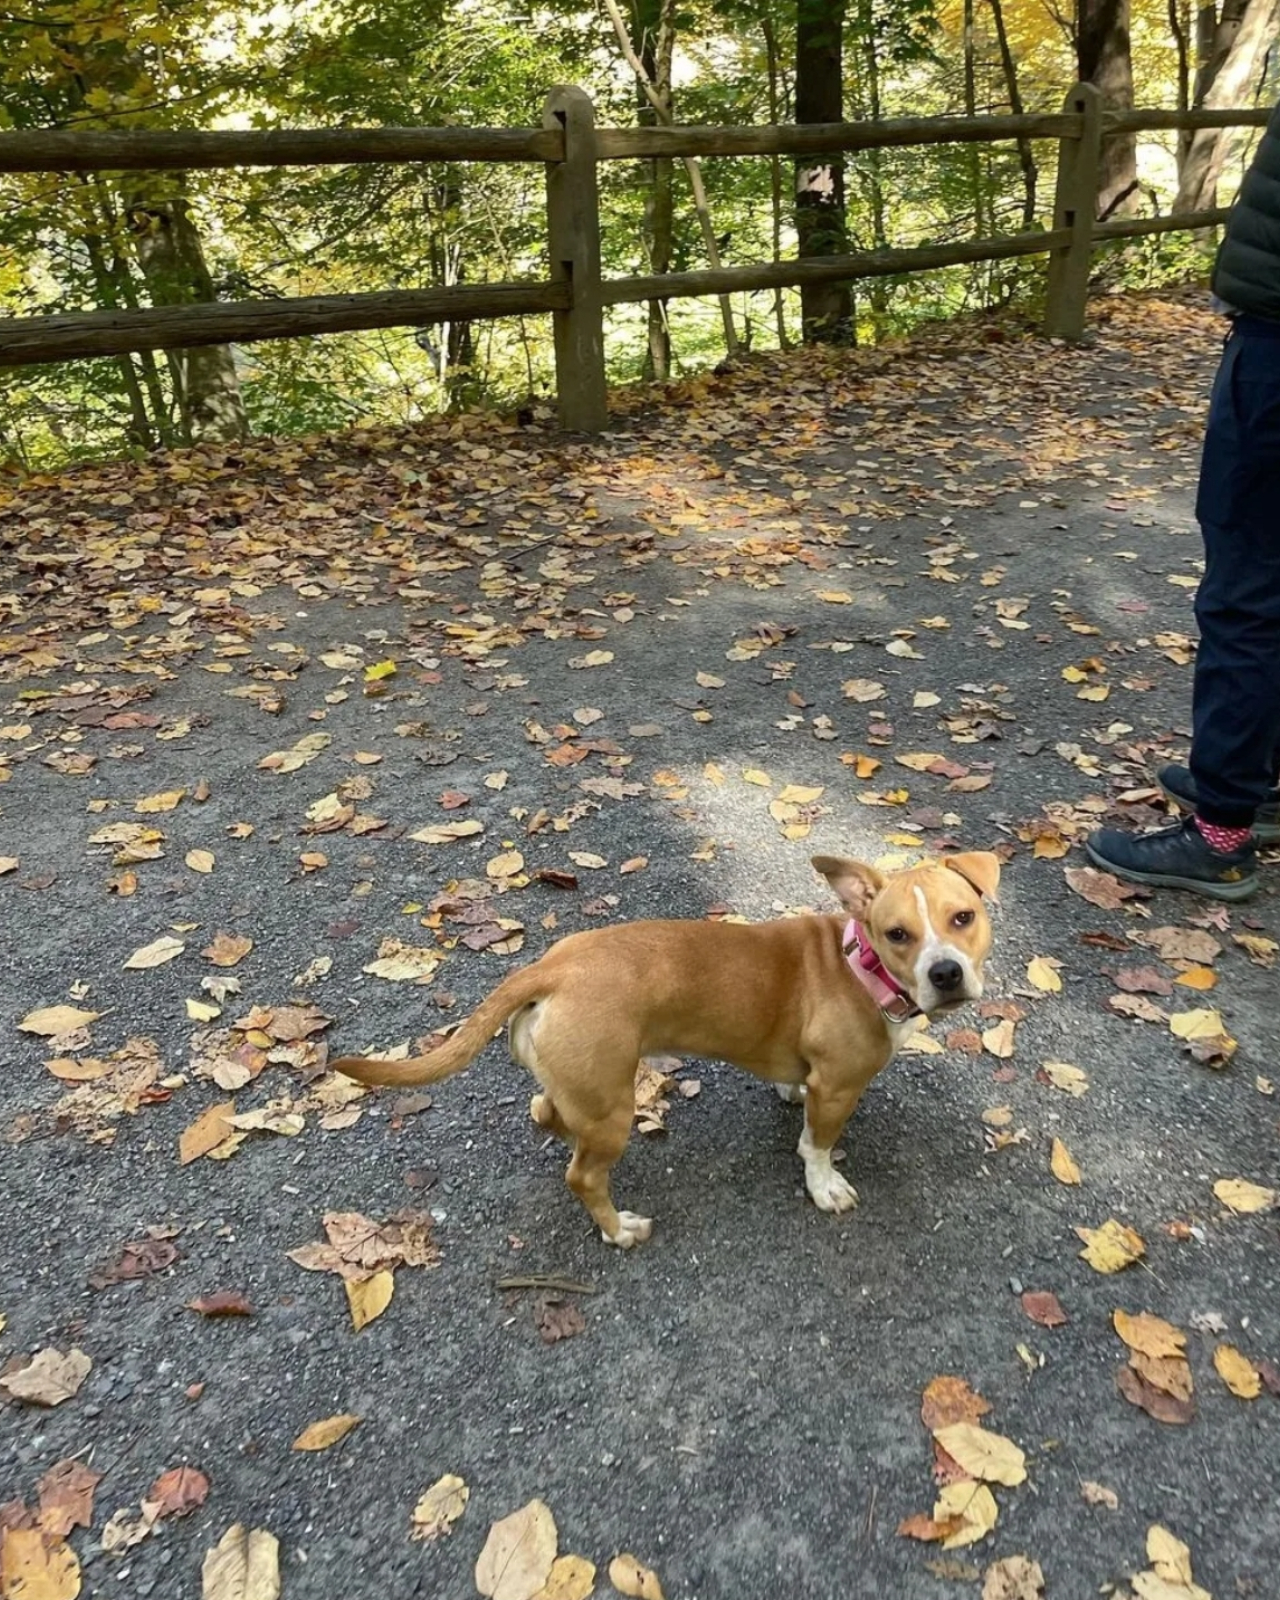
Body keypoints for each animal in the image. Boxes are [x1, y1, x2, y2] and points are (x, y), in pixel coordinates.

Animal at [329, 851, 998, 1248]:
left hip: (584, 1092)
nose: (945, 973)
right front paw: (824, 1185)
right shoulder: (838, 1089)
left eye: (963, 917)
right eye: (898, 934)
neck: (861, 965)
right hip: (612, 1108)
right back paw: (618, 1229)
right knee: (583, 1175)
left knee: (546, 1113)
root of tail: (551, 967)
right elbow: (816, 1146)